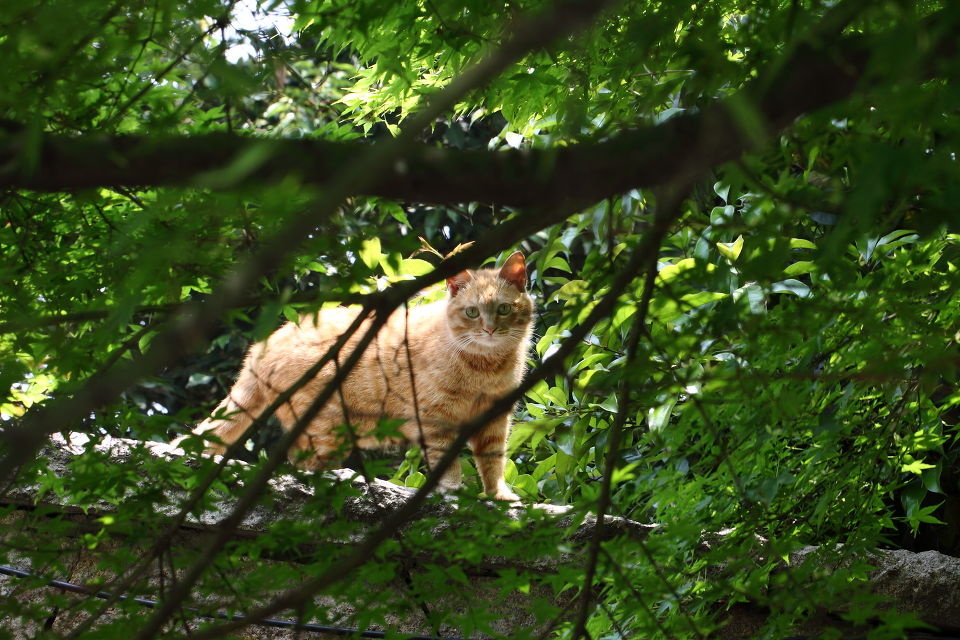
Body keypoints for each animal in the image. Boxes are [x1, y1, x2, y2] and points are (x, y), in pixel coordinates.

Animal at [181, 251, 534, 501]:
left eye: (503, 309)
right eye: (472, 312)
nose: (489, 330)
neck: (485, 367)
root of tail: (263, 345)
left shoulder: (494, 420)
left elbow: (492, 461)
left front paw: (498, 496)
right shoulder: (436, 420)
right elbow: (447, 463)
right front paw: (453, 491)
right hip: (324, 428)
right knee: (299, 466)